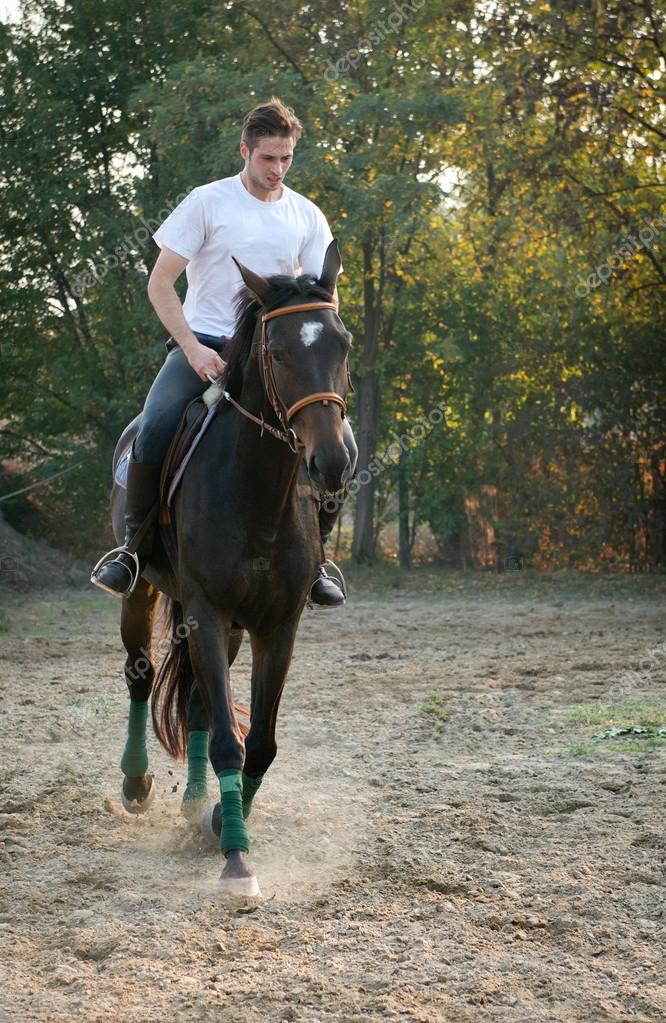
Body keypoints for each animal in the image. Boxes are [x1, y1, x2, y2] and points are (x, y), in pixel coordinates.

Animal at [109, 239, 353, 896]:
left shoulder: (276, 627)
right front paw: (237, 860)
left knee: (193, 699)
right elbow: (227, 740)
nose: (332, 461)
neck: (256, 493)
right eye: (279, 350)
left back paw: (196, 801)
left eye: (343, 345)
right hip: (144, 593)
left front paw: (223, 815)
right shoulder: (209, 613)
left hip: (227, 626)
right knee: (141, 674)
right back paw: (136, 784)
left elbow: (259, 743)